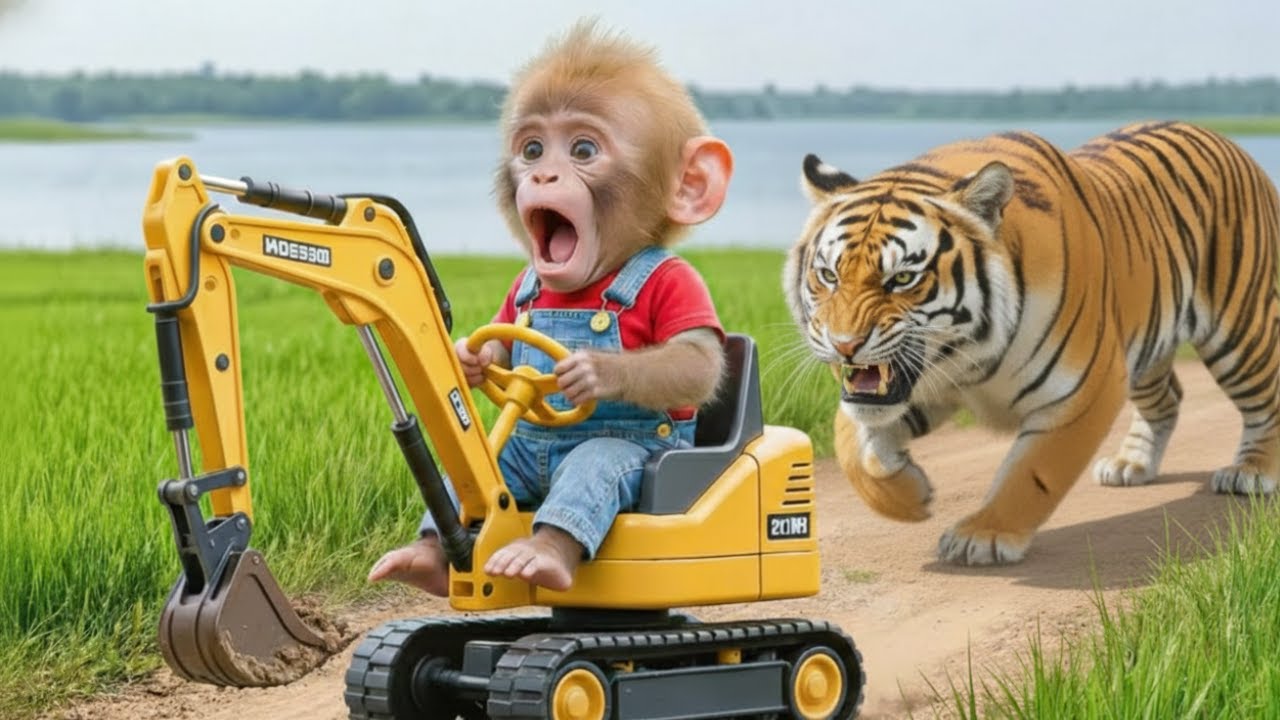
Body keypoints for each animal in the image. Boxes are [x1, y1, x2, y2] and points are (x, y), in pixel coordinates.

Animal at [368, 19, 733, 594]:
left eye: (583, 150)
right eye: (533, 150)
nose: (541, 177)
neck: (586, 284)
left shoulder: (681, 286)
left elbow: (694, 359)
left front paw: (591, 370)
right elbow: (499, 337)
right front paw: (470, 359)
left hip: (622, 462)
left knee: (590, 469)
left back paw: (537, 556)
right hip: (514, 462)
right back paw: (422, 558)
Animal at [782, 120, 1280, 565]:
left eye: (903, 279)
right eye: (828, 275)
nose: (845, 345)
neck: (967, 356)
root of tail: (1228, 141)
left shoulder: (1085, 388)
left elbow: (1032, 470)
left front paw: (983, 536)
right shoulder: (919, 390)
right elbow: (851, 442)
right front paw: (909, 497)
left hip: (1241, 330)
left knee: (1265, 398)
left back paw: (1251, 473)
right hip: (1145, 345)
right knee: (1169, 398)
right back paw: (1131, 465)